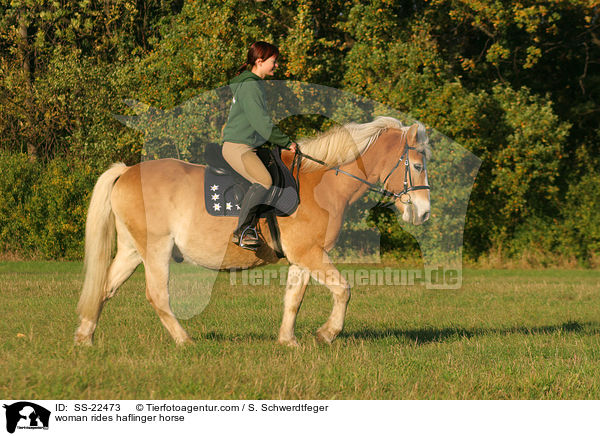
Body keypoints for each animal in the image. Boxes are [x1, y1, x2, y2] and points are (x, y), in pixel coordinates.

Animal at [75, 116, 432, 348]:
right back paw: (185, 341)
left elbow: (294, 300)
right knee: (157, 295)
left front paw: (288, 342)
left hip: (132, 249)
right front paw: (327, 333)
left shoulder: (302, 257)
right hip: (156, 249)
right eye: (416, 166)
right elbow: (343, 290)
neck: (322, 183)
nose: (424, 212)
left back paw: (84, 338)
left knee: (105, 287)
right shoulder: (311, 254)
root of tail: (126, 172)